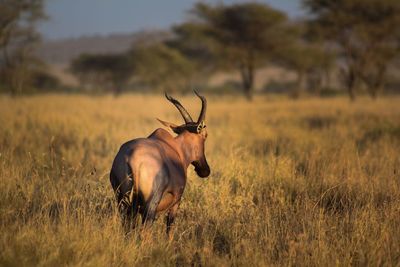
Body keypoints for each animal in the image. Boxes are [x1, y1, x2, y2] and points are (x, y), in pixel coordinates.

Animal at [109, 91, 209, 236]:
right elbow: (169, 230)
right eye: (205, 135)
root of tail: (130, 158)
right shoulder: (176, 201)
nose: (205, 170)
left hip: (123, 201)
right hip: (150, 205)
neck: (175, 147)